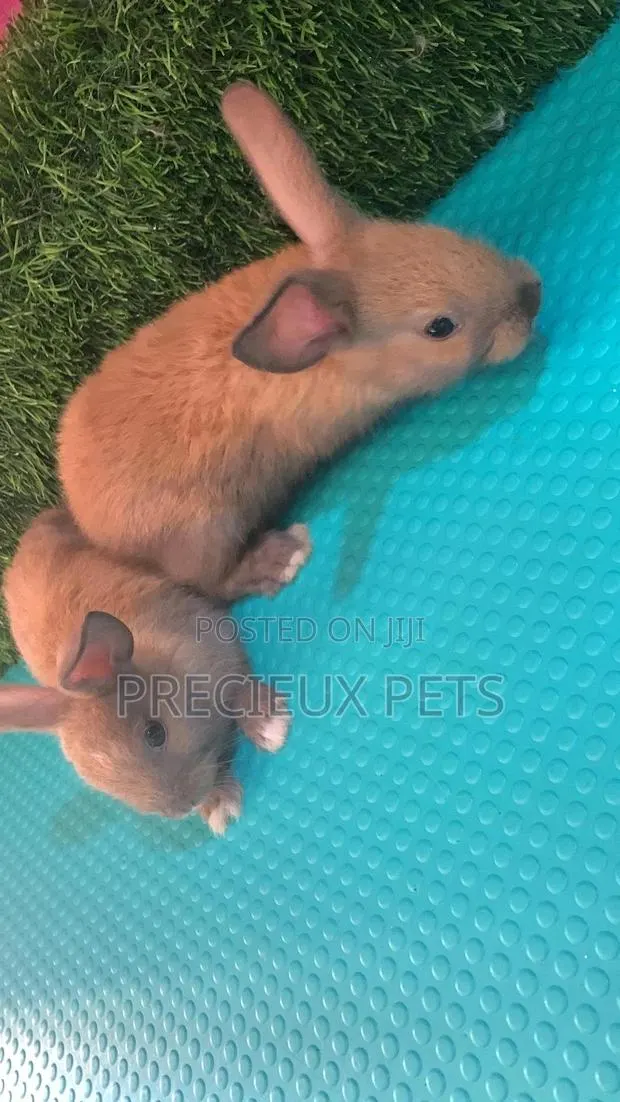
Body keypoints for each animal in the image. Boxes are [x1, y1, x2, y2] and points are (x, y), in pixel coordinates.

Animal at [0, 507, 292, 832]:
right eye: (103, 785)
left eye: (155, 733)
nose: (182, 808)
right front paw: (219, 804)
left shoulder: (217, 649)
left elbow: (239, 689)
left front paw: (269, 724)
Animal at [57, 80, 541, 599]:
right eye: (440, 328)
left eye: (437, 233)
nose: (532, 295)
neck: (336, 362)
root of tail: (89, 522)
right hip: (205, 531)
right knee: (212, 582)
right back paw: (281, 557)